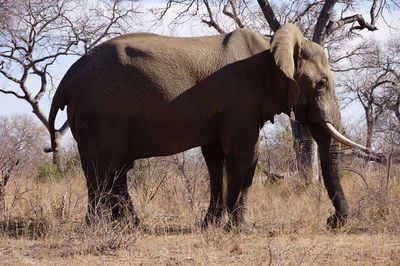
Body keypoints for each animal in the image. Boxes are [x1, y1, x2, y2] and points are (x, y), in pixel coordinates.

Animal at [47, 23, 366, 231]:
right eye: (322, 83)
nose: (332, 222)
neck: (271, 45)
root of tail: (68, 78)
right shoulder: (241, 101)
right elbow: (244, 156)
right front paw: (242, 230)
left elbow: (215, 160)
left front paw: (210, 225)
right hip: (100, 114)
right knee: (105, 168)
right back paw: (102, 228)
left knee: (109, 170)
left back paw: (126, 226)